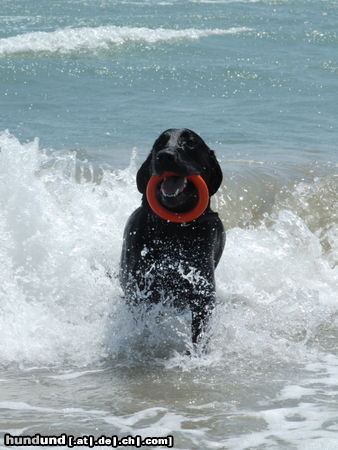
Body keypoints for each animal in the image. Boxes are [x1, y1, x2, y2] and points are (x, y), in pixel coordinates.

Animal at [119, 129, 224, 344]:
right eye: (159, 144)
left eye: (190, 143)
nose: (165, 156)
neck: (174, 228)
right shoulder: (139, 289)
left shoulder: (203, 293)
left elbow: (200, 334)